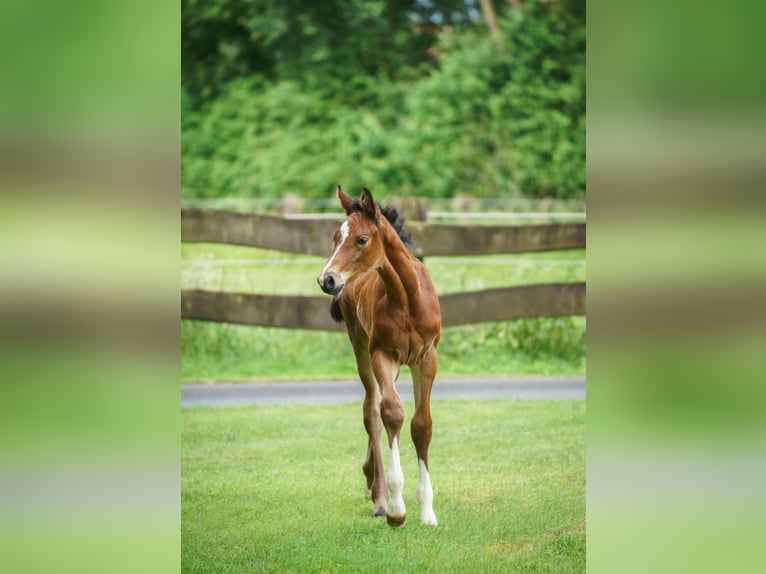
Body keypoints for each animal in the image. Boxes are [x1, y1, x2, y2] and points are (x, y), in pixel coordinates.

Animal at [317, 186, 441, 527]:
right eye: (335, 237)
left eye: (361, 239)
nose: (327, 279)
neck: (408, 299)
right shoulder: (381, 355)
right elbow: (392, 413)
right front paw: (398, 509)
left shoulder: (427, 358)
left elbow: (421, 424)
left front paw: (428, 511)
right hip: (361, 348)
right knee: (371, 410)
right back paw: (380, 496)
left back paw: (371, 478)